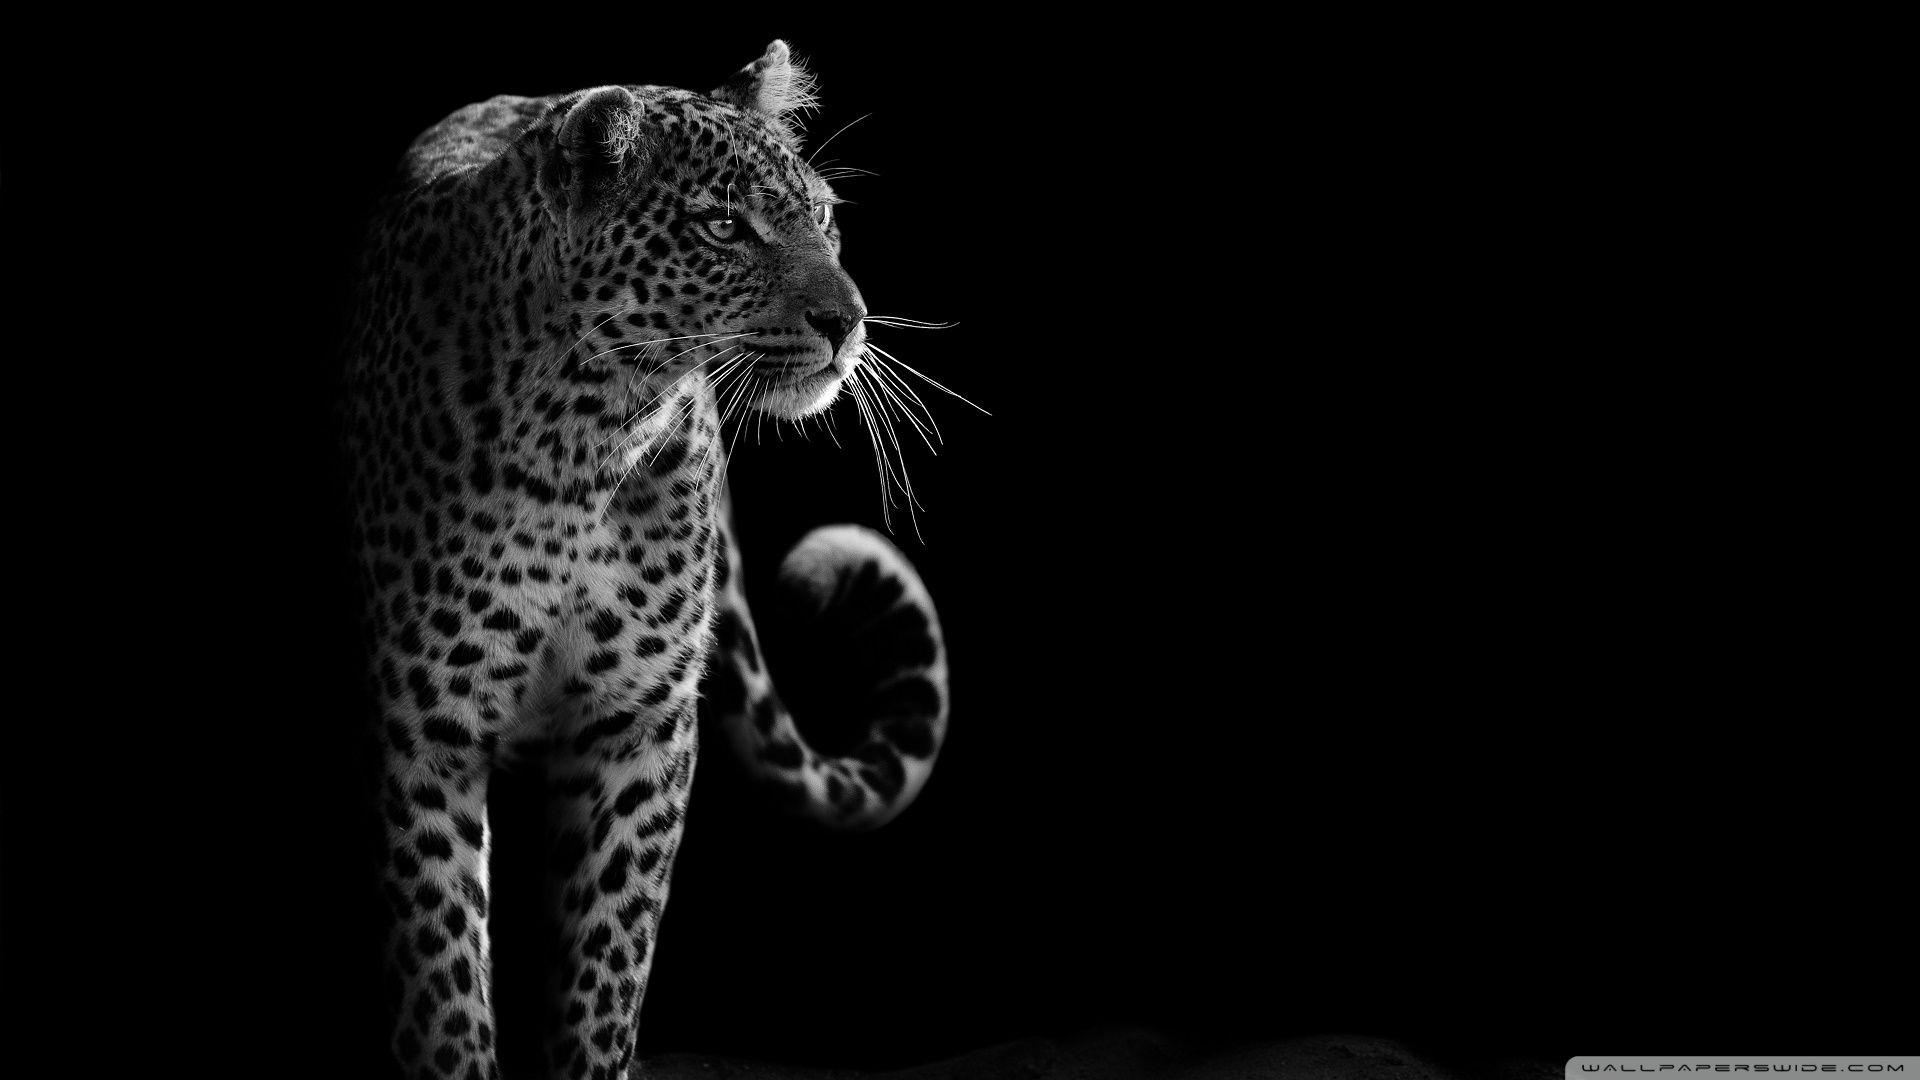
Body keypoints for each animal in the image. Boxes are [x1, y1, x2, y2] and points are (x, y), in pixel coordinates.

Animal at [342, 41, 950, 1080]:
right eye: (724, 227)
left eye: (823, 216)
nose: (849, 321)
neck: (583, 438)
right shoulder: (423, 726)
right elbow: (442, 973)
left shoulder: (638, 725)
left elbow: (606, 961)